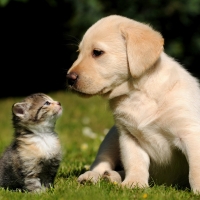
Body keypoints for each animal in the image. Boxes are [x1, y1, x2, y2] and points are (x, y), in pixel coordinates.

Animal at [66, 14, 200, 193]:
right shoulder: (128, 136)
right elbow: (135, 162)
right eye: (79, 53)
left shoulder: (190, 132)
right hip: (111, 137)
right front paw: (134, 184)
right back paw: (96, 176)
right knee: (101, 162)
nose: (69, 78)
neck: (137, 94)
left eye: (97, 53)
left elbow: (195, 168)